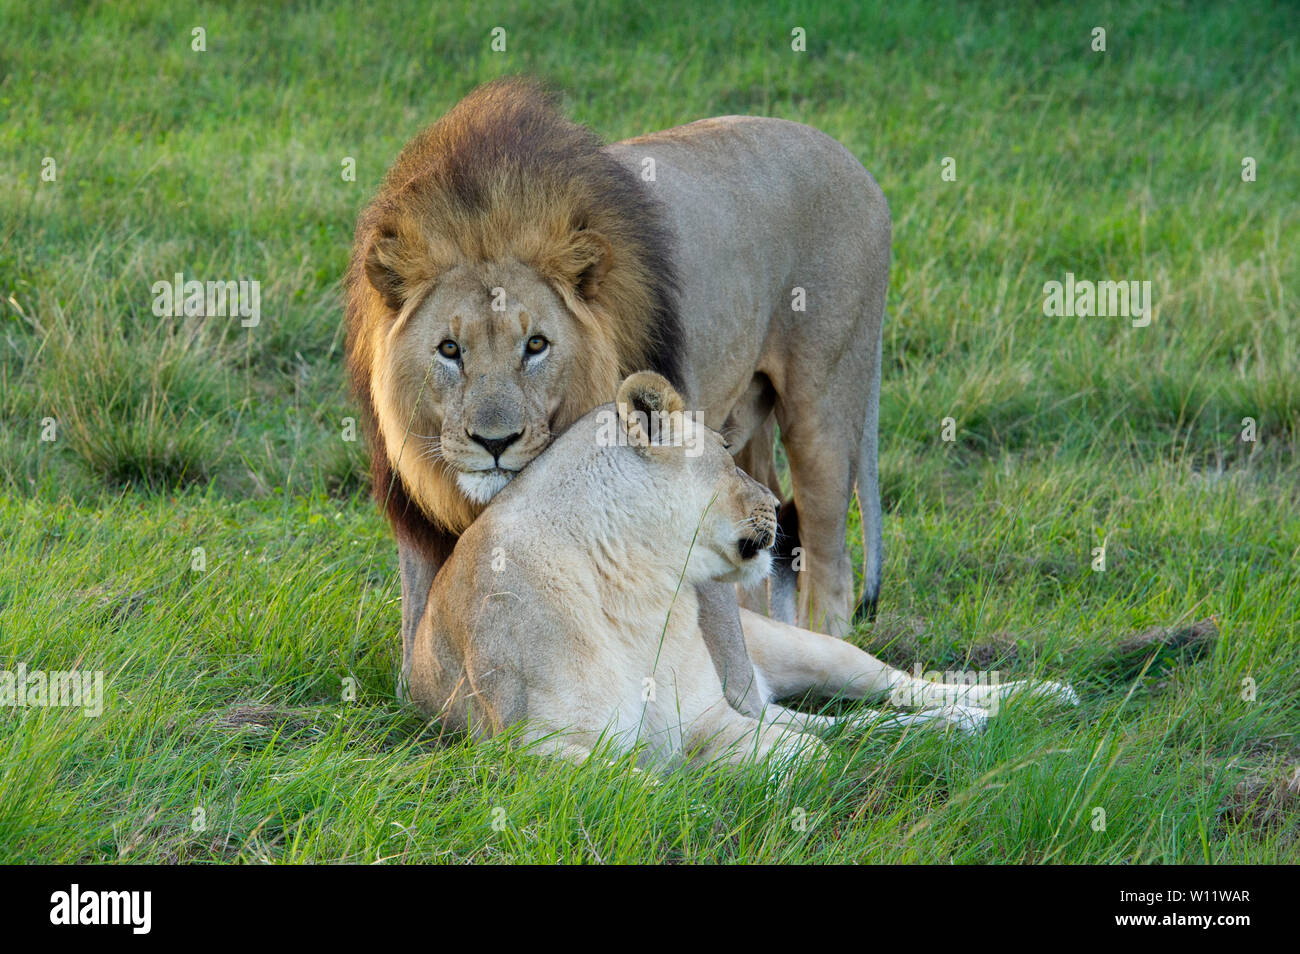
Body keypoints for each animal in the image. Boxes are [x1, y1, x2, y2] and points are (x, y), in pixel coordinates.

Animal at [345, 77, 890, 700]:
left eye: (536, 344)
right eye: (450, 350)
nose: (494, 443)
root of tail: (853, 161)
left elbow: (723, 634)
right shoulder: (419, 524)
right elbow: (423, 641)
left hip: (823, 404)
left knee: (828, 556)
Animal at [409, 373, 1078, 768]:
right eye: (729, 456)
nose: (777, 506)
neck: (639, 586)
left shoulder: (710, 715)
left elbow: (810, 750)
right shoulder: (534, 750)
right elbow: (644, 779)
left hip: (805, 651)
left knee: (896, 690)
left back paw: (1024, 699)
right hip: (765, 696)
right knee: (860, 723)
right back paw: (969, 723)